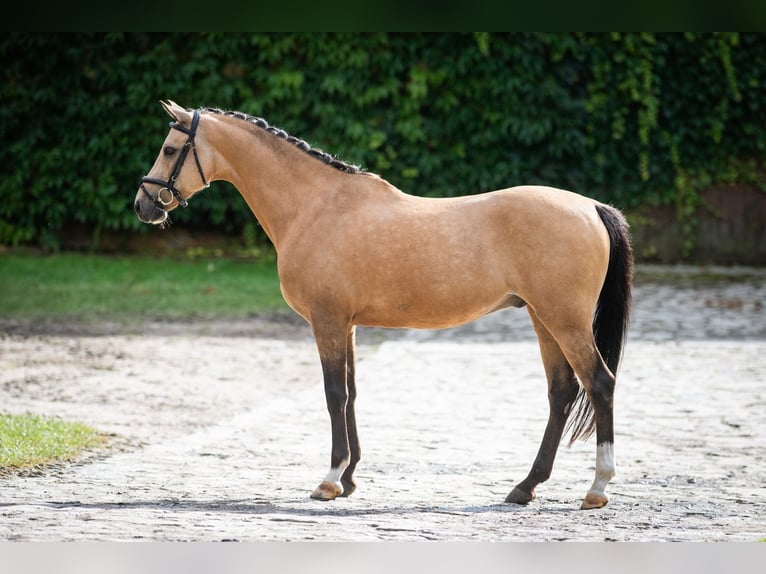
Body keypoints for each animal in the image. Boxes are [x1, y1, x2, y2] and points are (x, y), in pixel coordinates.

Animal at [134, 100, 633, 510]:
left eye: (169, 148)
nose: (143, 204)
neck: (315, 206)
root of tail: (592, 206)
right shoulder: (348, 325)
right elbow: (352, 394)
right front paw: (350, 479)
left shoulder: (327, 321)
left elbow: (334, 394)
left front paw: (329, 480)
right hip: (543, 318)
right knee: (561, 392)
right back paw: (524, 487)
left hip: (564, 321)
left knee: (600, 384)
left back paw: (596, 489)